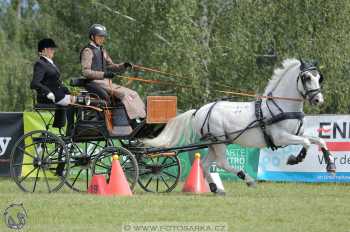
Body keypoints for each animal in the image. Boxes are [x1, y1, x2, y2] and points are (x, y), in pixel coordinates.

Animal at [143, 58, 336, 194]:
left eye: (319, 77)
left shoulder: (297, 134)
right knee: (222, 163)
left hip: (214, 144)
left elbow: (319, 141)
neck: (282, 107)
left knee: (205, 164)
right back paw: (247, 179)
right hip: (220, 142)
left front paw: (331, 166)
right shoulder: (281, 138)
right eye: (306, 77)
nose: (318, 100)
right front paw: (295, 159)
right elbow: (307, 143)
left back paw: (215, 188)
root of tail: (198, 110)